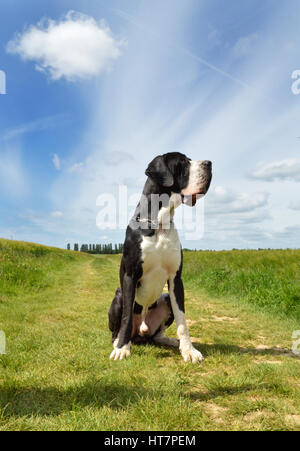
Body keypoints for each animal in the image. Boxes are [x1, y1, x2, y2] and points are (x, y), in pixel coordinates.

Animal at [108, 154, 211, 366]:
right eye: (182, 162)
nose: (209, 163)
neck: (159, 222)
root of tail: (141, 333)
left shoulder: (176, 279)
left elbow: (182, 319)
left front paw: (189, 350)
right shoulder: (130, 276)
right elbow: (126, 317)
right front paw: (122, 349)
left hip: (164, 300)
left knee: (157, 335)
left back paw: (170, 340)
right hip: (119, 295)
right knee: (118, 327)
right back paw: (117, 341)